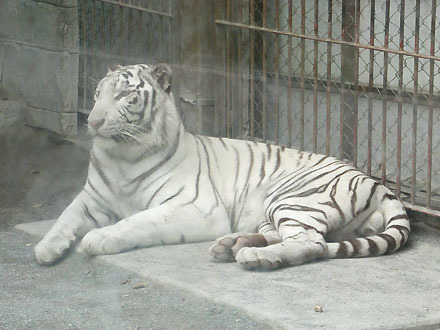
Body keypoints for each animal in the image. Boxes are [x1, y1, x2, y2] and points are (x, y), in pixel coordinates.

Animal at [34, 63, 410, 270]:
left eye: (125, 95)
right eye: (98, 94)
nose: (93, 122)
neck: (122, 157)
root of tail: (377, 184)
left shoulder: (193, 207)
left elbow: (137, 221)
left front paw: (99, 238)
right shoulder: (91, 199)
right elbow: (64, 216)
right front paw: (47, 248)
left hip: (294, 197)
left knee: (311, 242)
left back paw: (254, 256)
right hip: (275, 209)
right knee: (290, 234)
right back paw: (233, 245)